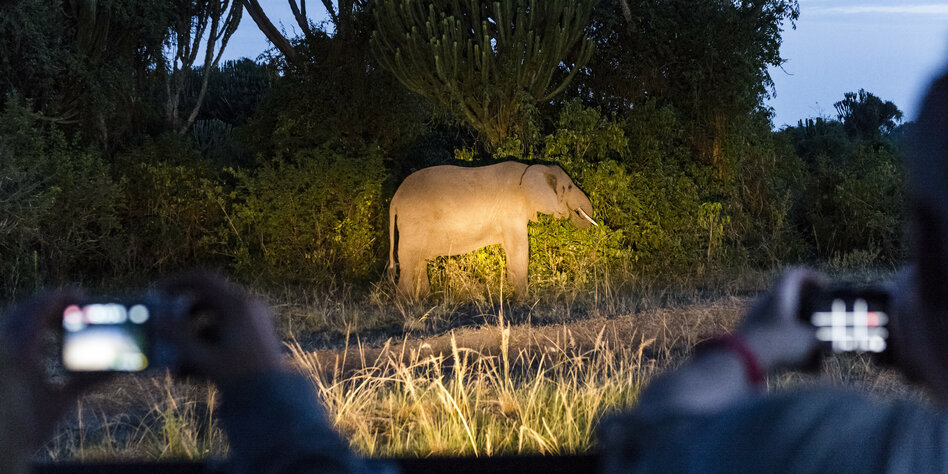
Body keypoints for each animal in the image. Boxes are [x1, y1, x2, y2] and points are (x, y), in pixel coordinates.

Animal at [388, 161, 597, 299]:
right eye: (569, 187)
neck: (533, 168)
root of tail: (395, 198)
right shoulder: (512, 210)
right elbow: (520, 248)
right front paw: (524, 301)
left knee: (418, 261)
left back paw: (424, 301)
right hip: (413, 223)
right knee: (409, 261)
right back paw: (406, 307)